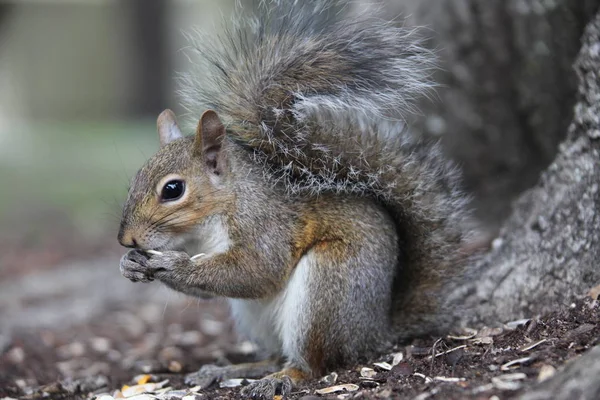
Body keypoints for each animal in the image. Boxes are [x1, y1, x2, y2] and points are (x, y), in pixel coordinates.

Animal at [117, 1, 474, 398]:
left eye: (173, 190)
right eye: (135, 179)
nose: (126, 239)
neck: (210, 221)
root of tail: (376, 331)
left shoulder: (265, 224)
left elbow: (258, 271)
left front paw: (172, 264)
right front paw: (130, 264)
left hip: (328, 287)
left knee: (313, 365)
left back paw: (283, 378)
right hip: (254, 316)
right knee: (275, 354)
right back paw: (230, 370)